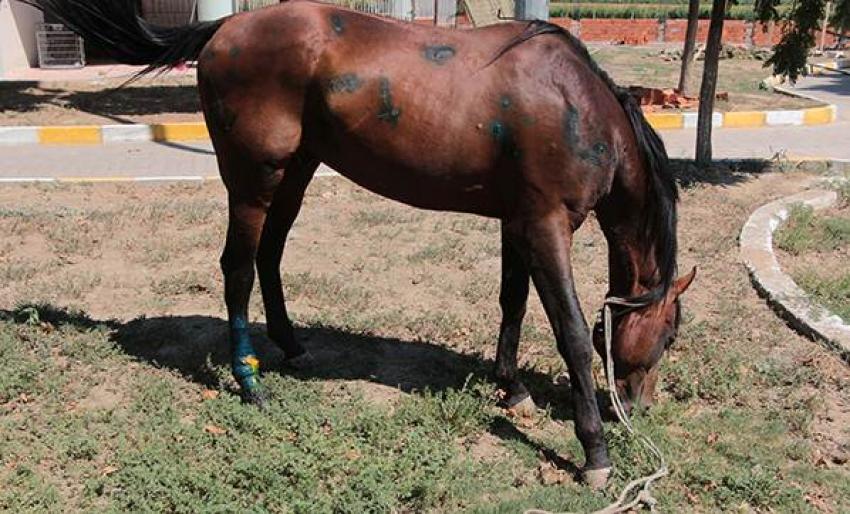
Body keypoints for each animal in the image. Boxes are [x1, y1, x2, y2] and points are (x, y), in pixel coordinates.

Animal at [34, 0, 696, 484]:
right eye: (667, 335)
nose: (638, 408)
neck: (575, 106)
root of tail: (227, 26)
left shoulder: (518, 222)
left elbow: (512, 304)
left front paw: (512, 390)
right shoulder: (547, 224)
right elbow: (571, 332)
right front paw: (594, 450)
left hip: (297, 173)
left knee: (270, 256)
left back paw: (292, 347)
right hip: (253, 180)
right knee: (238, 268)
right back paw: (249, 381)